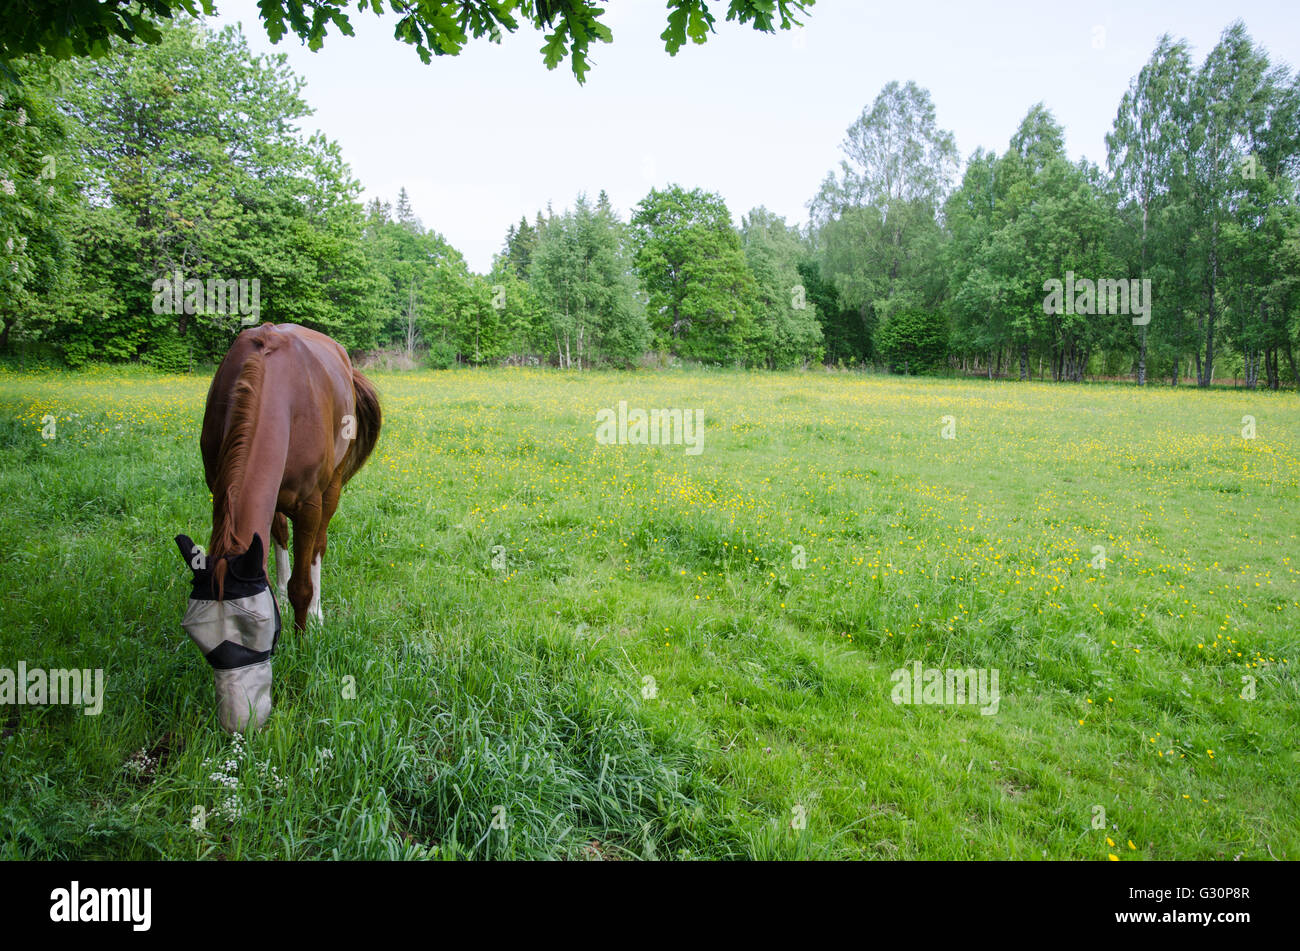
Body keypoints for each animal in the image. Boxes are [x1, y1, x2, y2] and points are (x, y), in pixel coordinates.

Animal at [172, 323, 379, 732]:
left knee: (318, 546)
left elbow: (303, 582)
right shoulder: (218, 484)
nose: (240, 724)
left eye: (261, 633)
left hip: (332, 486)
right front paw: (280, 595)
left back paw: (316, 611)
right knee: (280, 536)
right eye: (200, 639)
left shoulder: (310, 503)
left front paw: (303, 642)